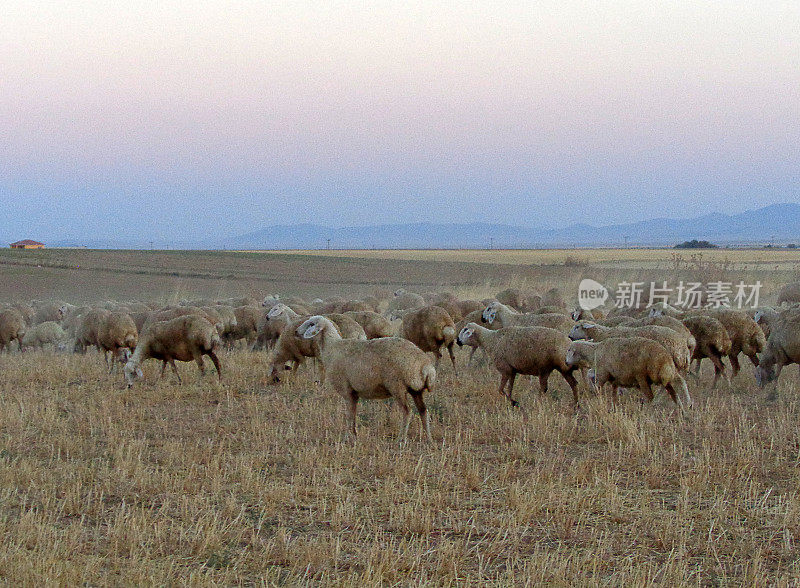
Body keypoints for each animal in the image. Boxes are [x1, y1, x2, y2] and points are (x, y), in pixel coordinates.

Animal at [296, 316, 434, 440]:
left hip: (397, 386)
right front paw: (354, 434)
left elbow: (349, 415)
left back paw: (401, 439)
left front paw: (347, 437)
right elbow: (353, 414)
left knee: (407, 411)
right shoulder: (354, 393)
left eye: (311, 324)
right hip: (416, 389)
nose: (296, 332)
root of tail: (425, 366)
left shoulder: (346, 390)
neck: (332, 348)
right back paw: (428, 439)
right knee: (423, 410)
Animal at [564, 338, 692, 412]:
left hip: (645, 375)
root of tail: (664, 357)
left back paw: (651, 408)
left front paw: (596, 397)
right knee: (679, 382)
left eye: (570, 350)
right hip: (668, 372)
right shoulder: (613, 377)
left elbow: (596, 383)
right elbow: (612, 390)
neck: (595, 351)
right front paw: (614, 405)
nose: (566, 362)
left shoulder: (603, 373)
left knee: (653, 395)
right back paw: (685, 405)